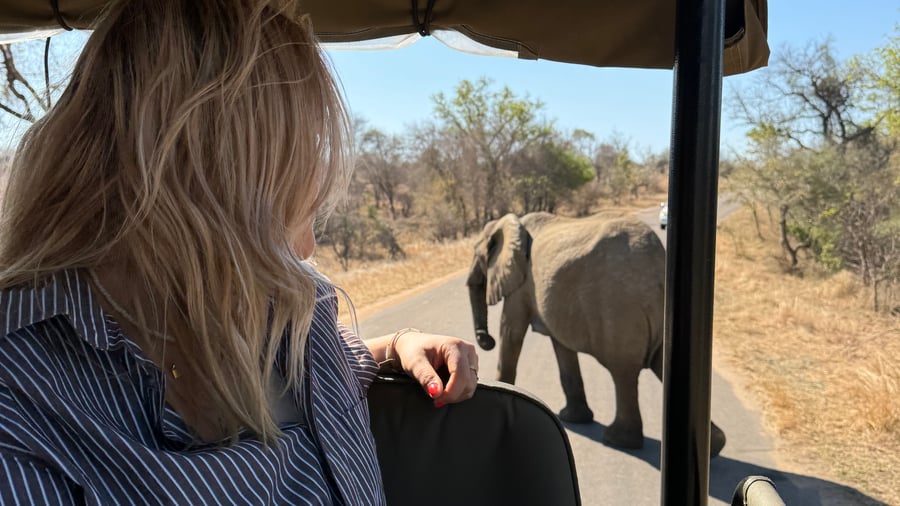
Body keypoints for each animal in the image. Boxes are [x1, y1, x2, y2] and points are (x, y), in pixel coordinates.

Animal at [467, 211, 726, 456]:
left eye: (477, 256)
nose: (485, 340)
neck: (511, 223)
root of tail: (657, 264)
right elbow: (561, 347)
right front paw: (573, 418)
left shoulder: (521, 285)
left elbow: (511, 331)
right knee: (660, 364)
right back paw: (715, 446)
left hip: (619, 308)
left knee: (623, 371)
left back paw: (618, 440)